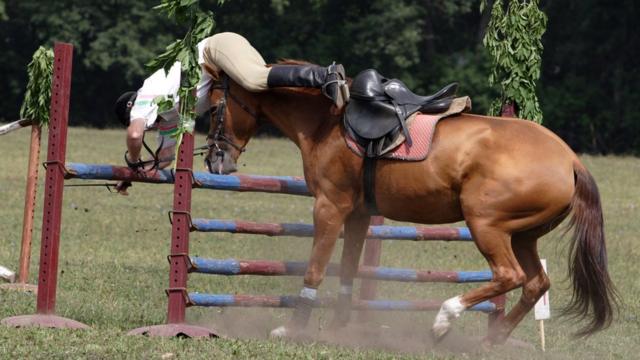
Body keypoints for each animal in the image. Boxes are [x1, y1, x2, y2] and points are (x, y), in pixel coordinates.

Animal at [204, 65, 616, 346]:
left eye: (214, 107)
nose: (214, 161)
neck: (326, 121)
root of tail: (571, 160)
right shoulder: (358, 215)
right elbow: (348, 271)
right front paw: (340, 329)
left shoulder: (329, 208)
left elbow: (316, 270)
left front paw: (292, 328)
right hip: (524, 235)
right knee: (535, 283)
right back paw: (489, 341)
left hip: (486, 224)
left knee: (508, 276)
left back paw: (444, 320)